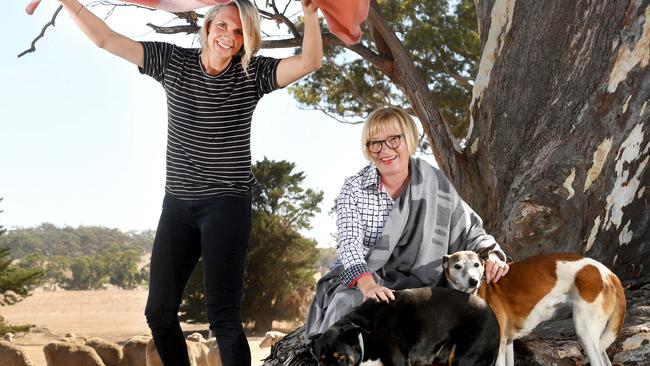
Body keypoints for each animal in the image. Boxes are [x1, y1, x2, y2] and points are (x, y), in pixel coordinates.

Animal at [440, 244, 624, 366]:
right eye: (457, 266)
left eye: (477, 265)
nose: (473, 281)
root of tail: (609, 273)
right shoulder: (507, 343)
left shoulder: (499, 345)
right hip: (596, 338)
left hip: (584, 332)